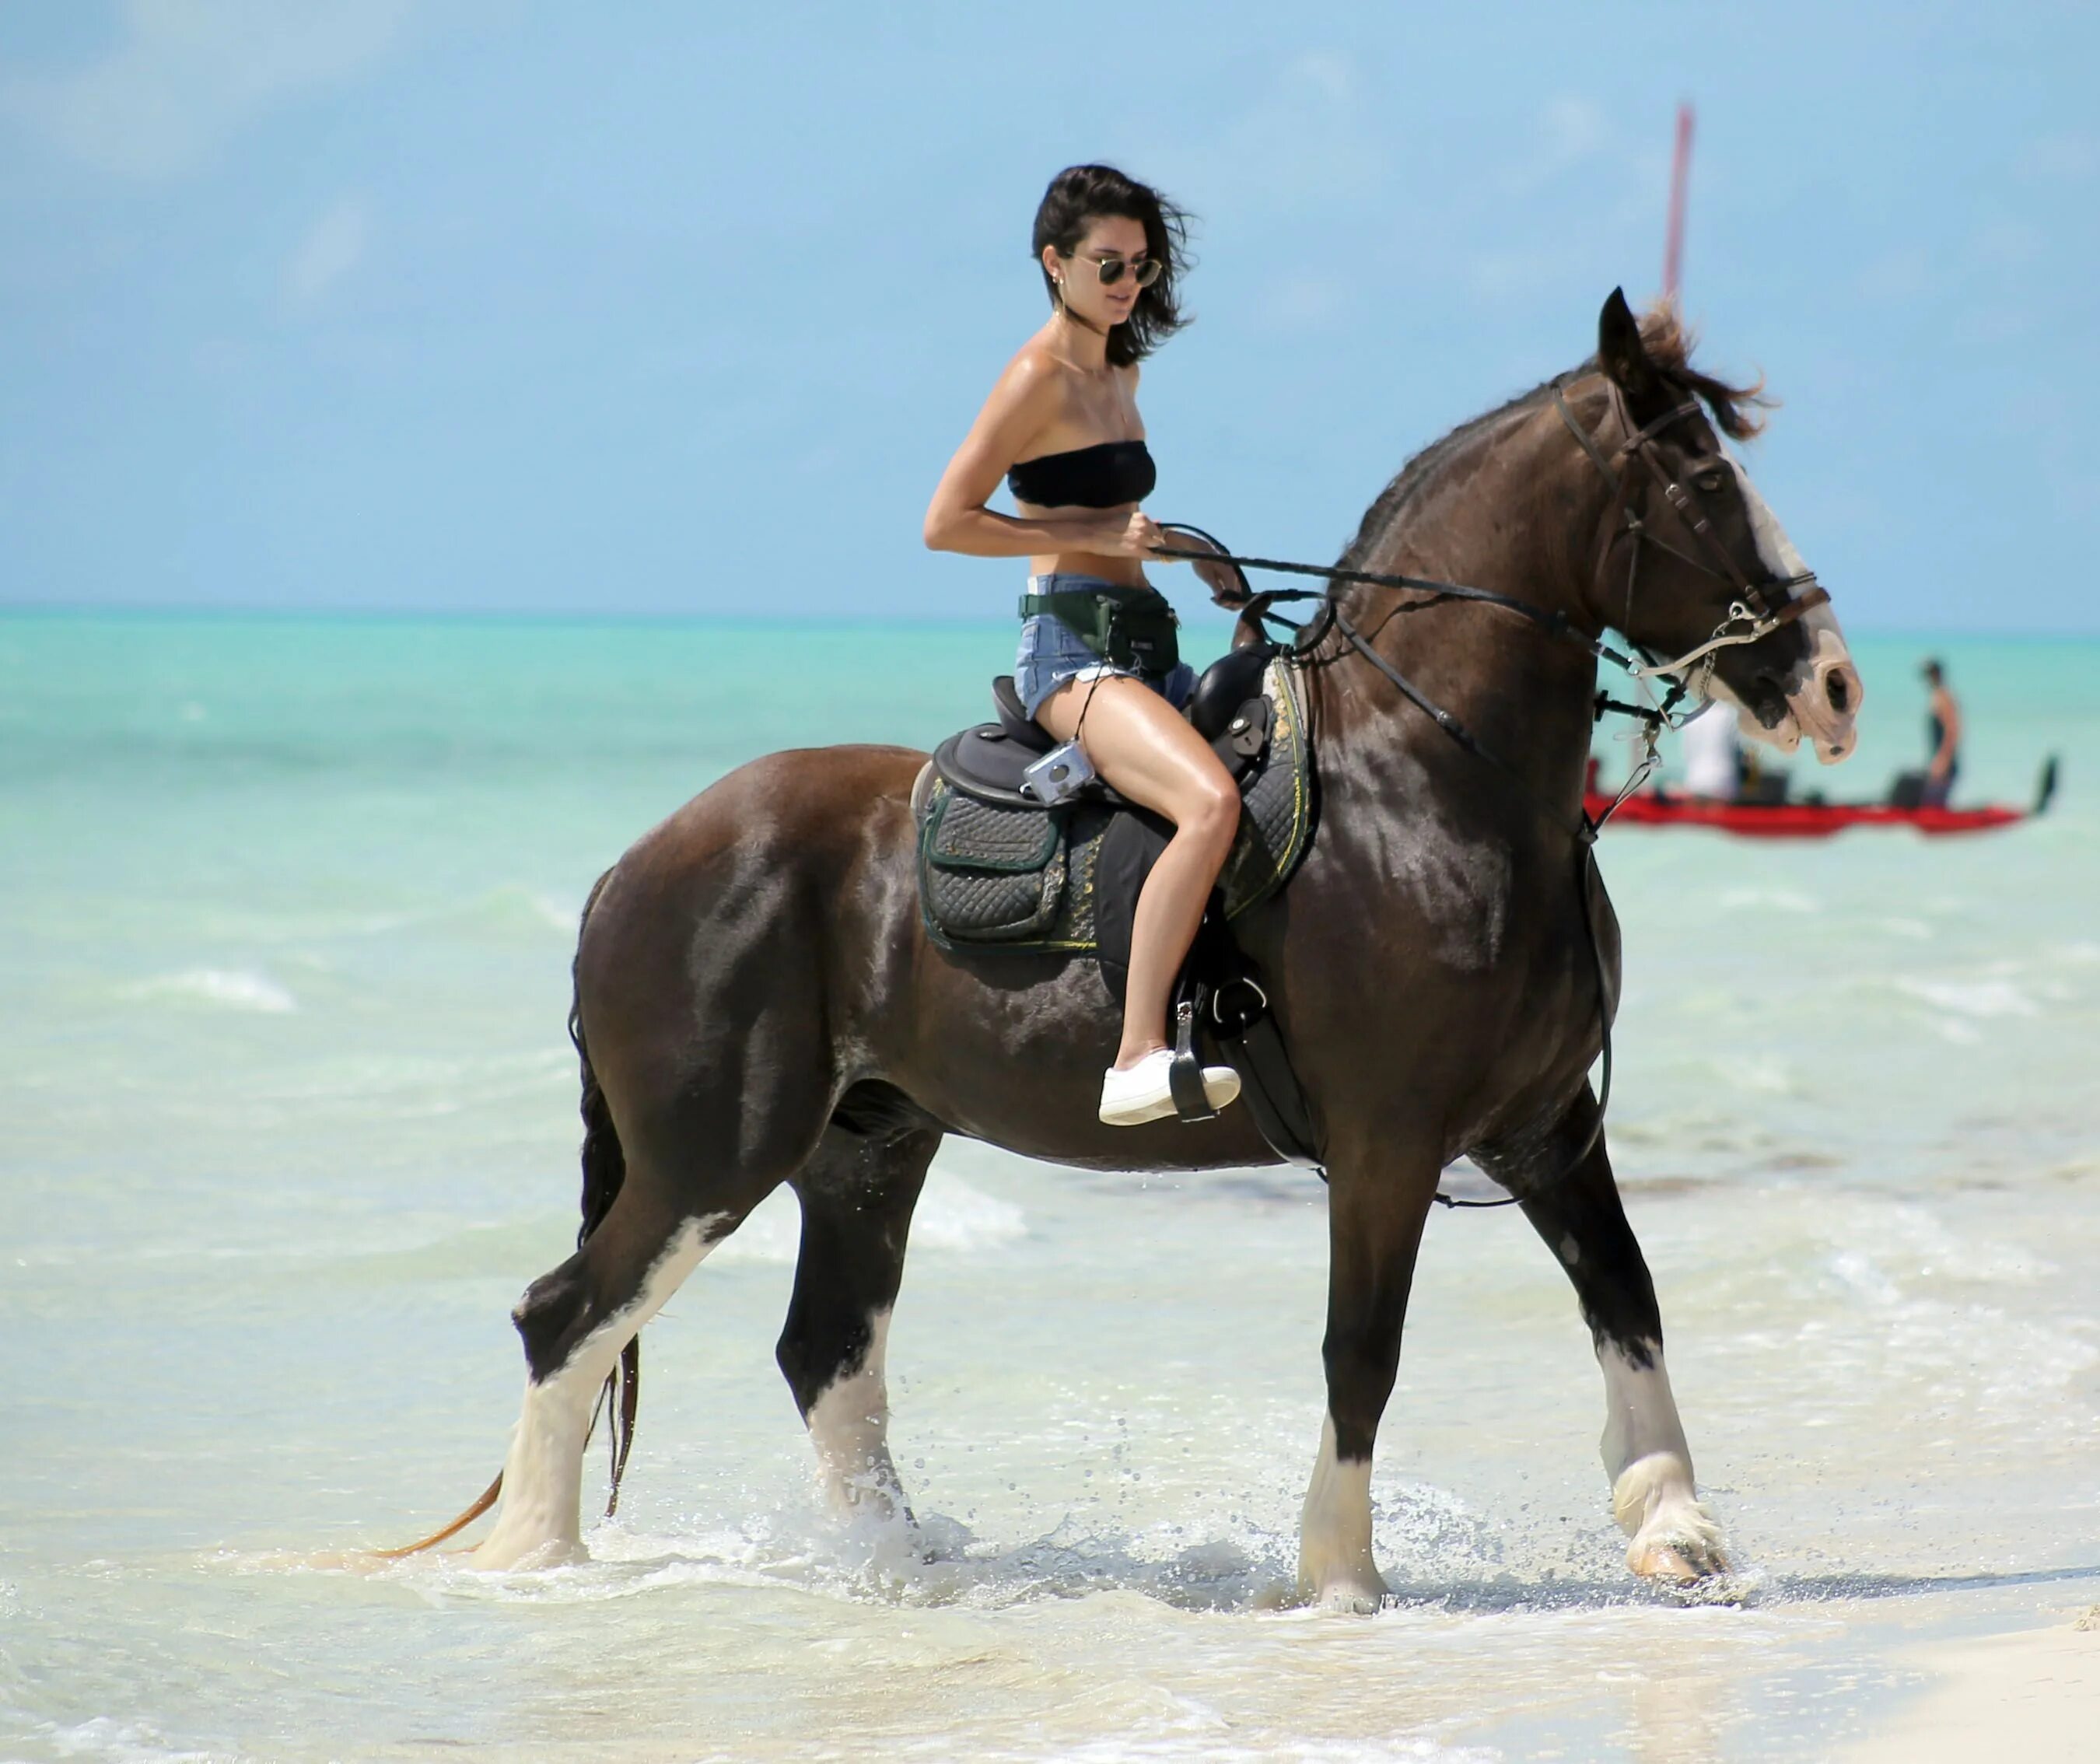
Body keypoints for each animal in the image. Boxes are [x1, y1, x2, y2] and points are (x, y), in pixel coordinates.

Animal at [426, 292, 1856, 1612]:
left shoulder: (1546, 1127)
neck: (1427, 786)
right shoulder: (1388, 1146)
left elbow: (1628, 1296)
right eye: (1701, 482)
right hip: (711, 1156)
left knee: (823, 1349)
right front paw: (1339, 1574)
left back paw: (895, 1566)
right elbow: (1362, 1349)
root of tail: (636, 865)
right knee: (568, 1313)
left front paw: (1677, 1525)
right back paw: (540, 1559)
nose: (1833, 683)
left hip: (866, 1150)